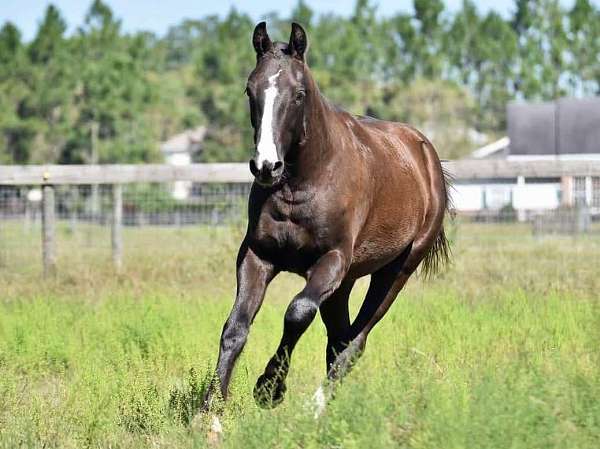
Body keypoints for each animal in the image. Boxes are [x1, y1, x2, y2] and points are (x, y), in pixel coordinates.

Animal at [204, 22, 448, 412]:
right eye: (250, 90)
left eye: (299, 93)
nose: (266, 166)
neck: (304, 182)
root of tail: (425, 155)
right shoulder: (257, 256)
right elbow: (236, 327)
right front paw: (210, 410)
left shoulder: (331, 259)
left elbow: (298, 312)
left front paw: (269, 388)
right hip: (343, 283)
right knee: (339, 339)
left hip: (396, 271)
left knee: (355, 341)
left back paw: (316, 408)